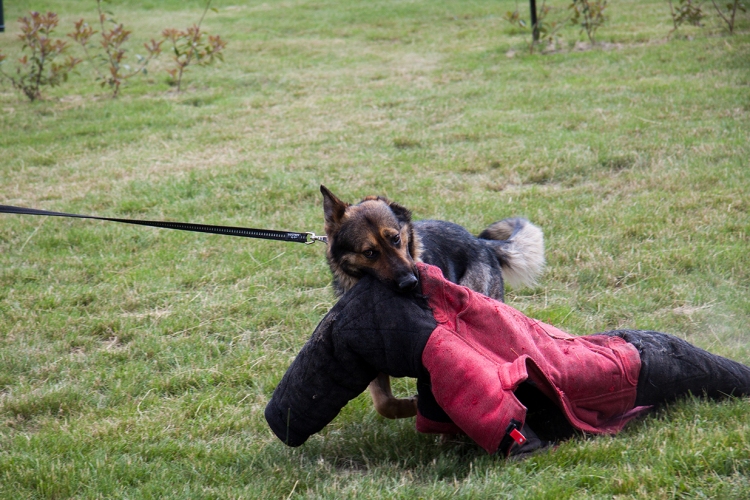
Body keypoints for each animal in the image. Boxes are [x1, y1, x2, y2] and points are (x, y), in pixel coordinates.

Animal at [318, 186, 548, 420]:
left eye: (395, 239)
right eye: (369, 253)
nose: (410, 283)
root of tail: (481, 243)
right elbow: (384, 403)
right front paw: (412, 406)